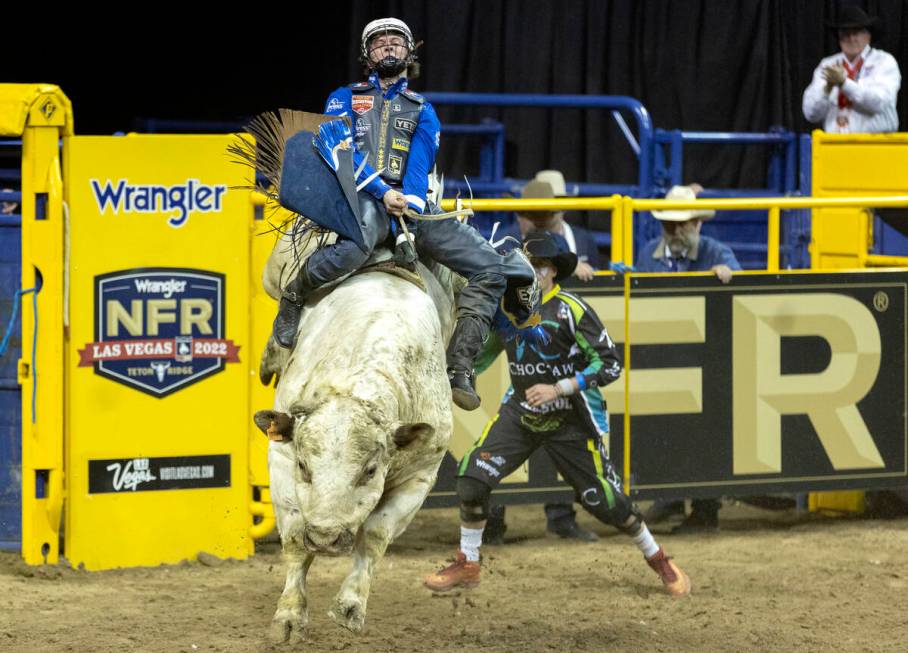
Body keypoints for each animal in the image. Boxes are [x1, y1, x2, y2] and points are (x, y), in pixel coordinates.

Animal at [254, 232, 454, 640]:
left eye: (370, 471)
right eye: (304, 466)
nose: (326, 540)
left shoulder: (421, 472)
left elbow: (376, 535)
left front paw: (349, 606)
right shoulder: (280, 458)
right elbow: (295, 539)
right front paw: (288, 616)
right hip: (275, 268)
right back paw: (272, 352)